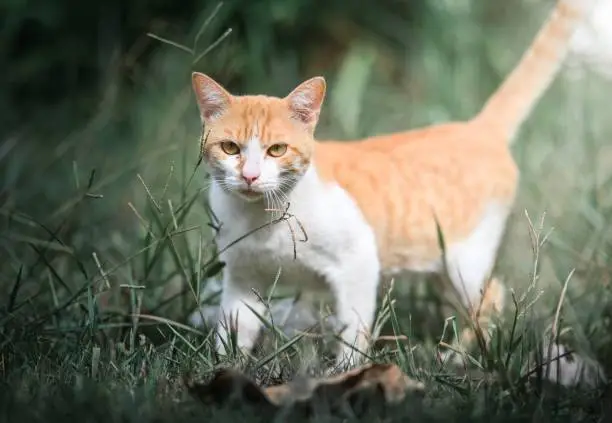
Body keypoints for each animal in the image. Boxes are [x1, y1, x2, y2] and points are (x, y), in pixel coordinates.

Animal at [191, 0, 596, 372]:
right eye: (230, 148)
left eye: (276, 150)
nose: (250, 176)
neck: (262, 219)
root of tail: (476, 128)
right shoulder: (241, 279)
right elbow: (234, 329)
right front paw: (225, 369)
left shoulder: (359, 263)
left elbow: (354, 328)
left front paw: (345, 372)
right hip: (441, 268)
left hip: (465, 262)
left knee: (491, 300)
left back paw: (457, 358)